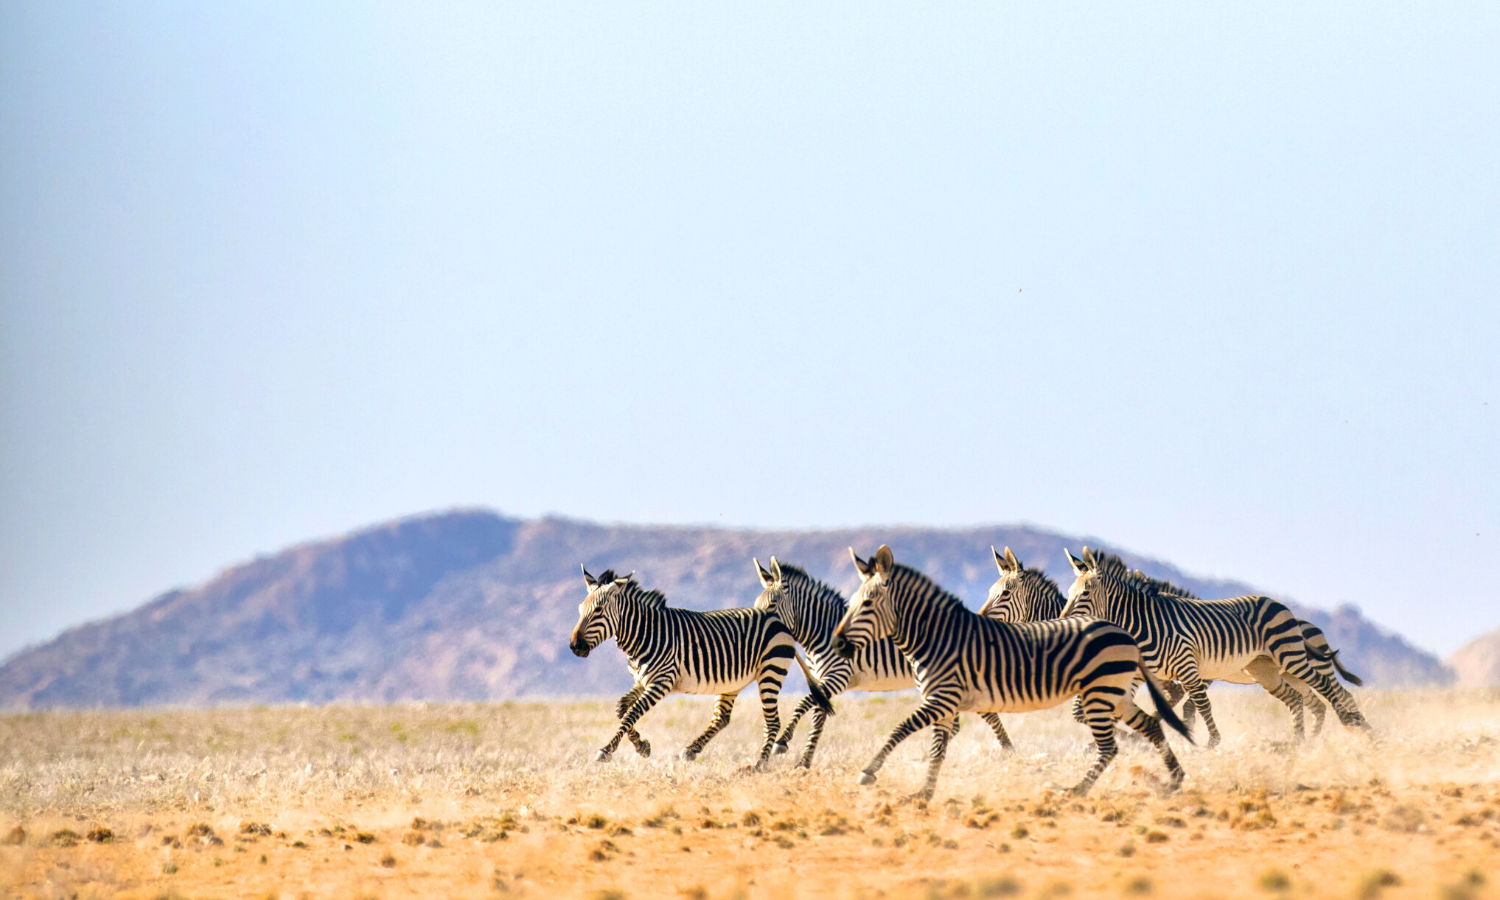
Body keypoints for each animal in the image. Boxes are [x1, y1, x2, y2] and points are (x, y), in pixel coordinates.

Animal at [567, 570, 840, 765]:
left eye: (598, 610)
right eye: (580, 610)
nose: (574, 646)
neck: (646, 634)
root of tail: (779, 622)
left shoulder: (661, 681)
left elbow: (631, 713)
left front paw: (606, 750)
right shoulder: (643, 680)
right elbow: (622, 709)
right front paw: (642, 746)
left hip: (770, 672)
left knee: (772, 722)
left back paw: (758, 765)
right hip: (733, 681)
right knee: (722, 718)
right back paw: (691, 750)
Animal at [756, 558, 1014, 768]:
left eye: (771, 605)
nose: (758, 629)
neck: (822, 631)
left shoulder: (838, 677)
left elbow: (802, 704)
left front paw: (783, 743)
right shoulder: (822, 681)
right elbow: (818, 718)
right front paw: (804, 762)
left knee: (985, 715)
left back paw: (1007, 750)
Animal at [828, 546, 1188, 798]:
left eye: (867, 604)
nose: (838, 643)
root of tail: (1124, 633)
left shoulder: (944, 698)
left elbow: (901, 728)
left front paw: (869, 772)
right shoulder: (946, 702)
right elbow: (938, 747)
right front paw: (924, 791)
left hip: (1105, 691)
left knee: (1121, 738)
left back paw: (1078, 789)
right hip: (1114, 692)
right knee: (1153, 722)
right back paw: (1173, 778)